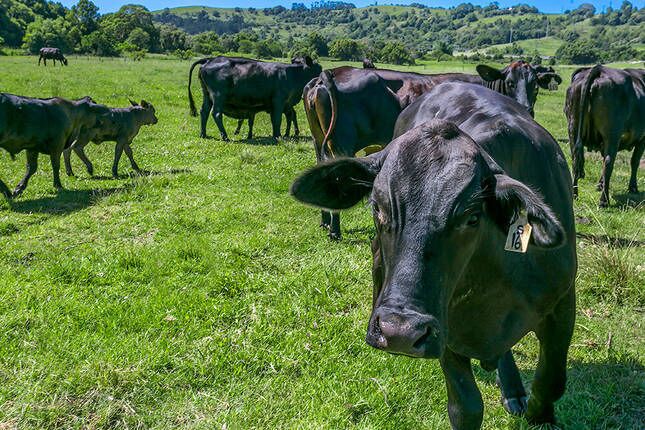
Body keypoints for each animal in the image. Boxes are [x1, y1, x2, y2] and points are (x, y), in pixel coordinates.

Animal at [187, 55, 320, 141]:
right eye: (318, 68)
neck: (292, 74)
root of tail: (209, 59)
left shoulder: (284, 104)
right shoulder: (278, 102)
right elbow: (277, 119)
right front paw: (277, 136)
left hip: (207, 95)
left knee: (204, 112)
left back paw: (203, 134)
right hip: (218, 96)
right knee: (216, 113)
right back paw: (225, 136)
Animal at [290, 82, 576, 428]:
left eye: (471, 217)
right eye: (377, 207)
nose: (398, 331)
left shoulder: (563, 305)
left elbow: (551, 381)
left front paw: (536, 411)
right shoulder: (445, 329)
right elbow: (466, 407)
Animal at [564, 64, 644, 207]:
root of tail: (599, 69)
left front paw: (600, 184)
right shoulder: (642, 139)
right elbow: (634, 161)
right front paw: (633, 187)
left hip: (572, 129)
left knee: (575, 160)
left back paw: (574, 195)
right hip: (612, 135)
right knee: (608, 162)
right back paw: (603, 200)